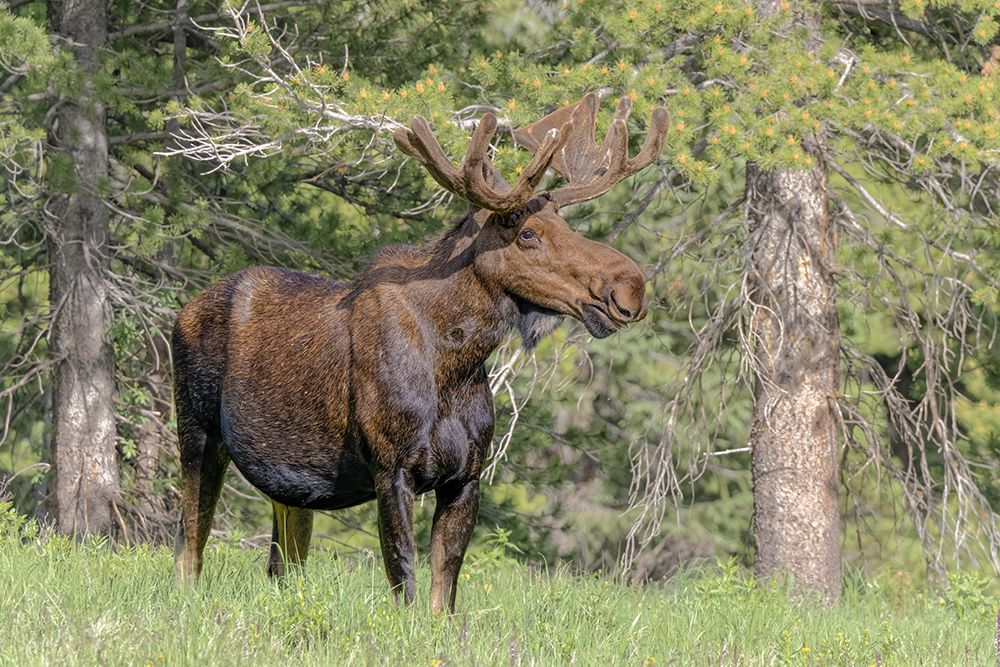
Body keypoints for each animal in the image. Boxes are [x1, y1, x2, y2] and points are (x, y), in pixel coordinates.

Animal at [172, 92, 668, 612]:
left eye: (565, 223)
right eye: (527, 233)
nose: (630, 287)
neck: (456, 363)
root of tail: (183, 311)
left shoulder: (466, 477)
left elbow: (443, 593)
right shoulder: (392, 468)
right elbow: (404, 579)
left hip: (289, 485)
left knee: (280, 563)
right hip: (197, 431)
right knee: (189, 547)